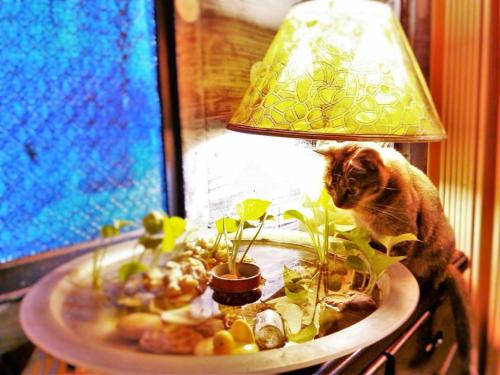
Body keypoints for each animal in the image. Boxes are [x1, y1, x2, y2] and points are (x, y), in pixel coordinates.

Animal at [316, 142, 472, 374]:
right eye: (329, 187)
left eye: (351, 189)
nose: (337, 204)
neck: (368, 210)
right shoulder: (366, 239)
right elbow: (364, 267)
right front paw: (355, 288)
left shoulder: (401, 239)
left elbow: (389, 267)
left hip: (441, 244)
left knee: (436, 276)